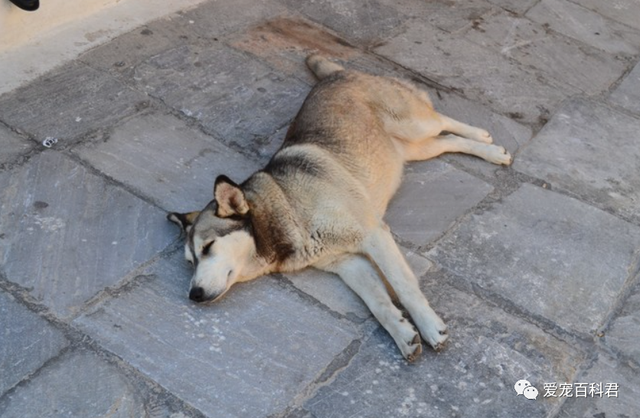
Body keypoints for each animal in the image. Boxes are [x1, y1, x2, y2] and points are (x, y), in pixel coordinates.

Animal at [168, 54, 512, 362]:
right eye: (190, 261)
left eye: (209, 247)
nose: (193, 295)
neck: (286, 208)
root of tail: (337, 73)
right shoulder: (349, 263)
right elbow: (378, 302)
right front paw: (402, 333)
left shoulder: (374, 235)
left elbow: (404, 286)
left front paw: (428, 326)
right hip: (409, 150)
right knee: (447, 141)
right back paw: (486, 149)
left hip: (413, 124)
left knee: (442, 120)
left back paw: (486, 140)